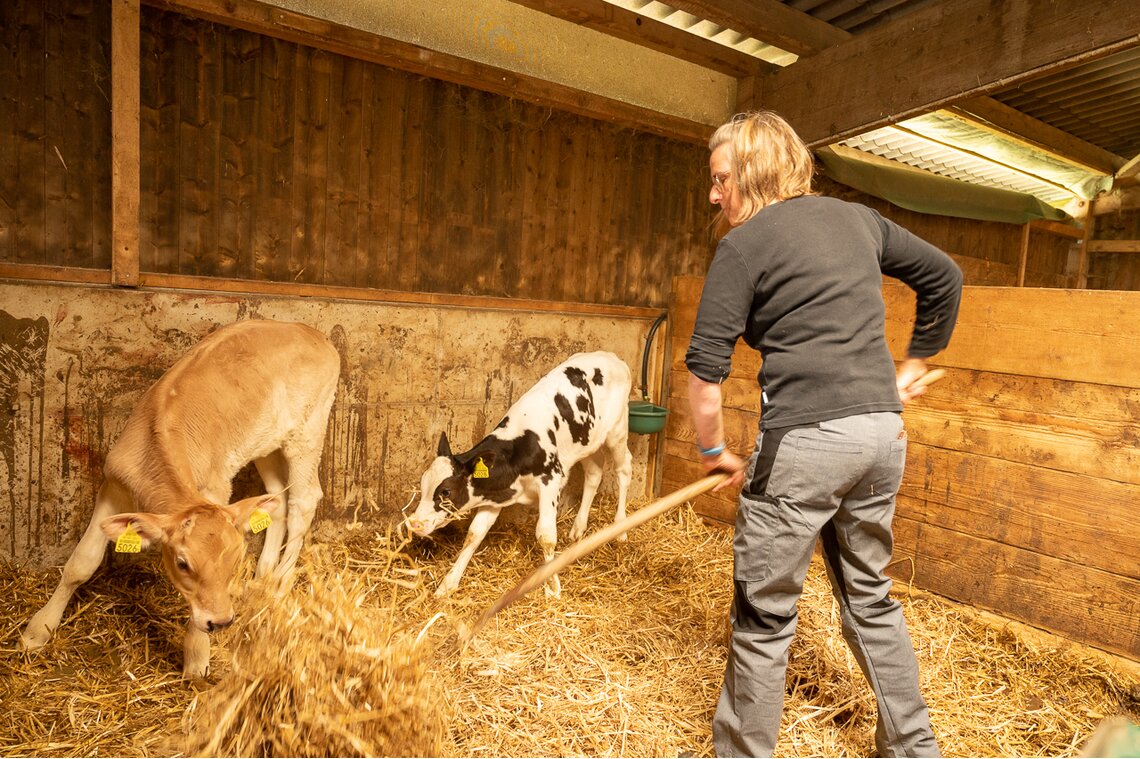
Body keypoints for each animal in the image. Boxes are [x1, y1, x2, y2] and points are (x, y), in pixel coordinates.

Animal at [403, 351, 638, 592]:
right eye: (422, 484)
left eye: (446, 492)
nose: (414, 523)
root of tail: (610, 356)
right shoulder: (494, 494)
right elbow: (474, 534)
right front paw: (449, 583)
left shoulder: (550, 482)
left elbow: (546, 535)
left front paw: (553, 587)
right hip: (586, 442)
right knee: (594, 473)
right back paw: (578, 529)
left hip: (617, 431)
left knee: (624, 469)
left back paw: (620, 529)